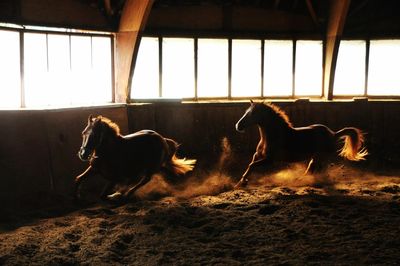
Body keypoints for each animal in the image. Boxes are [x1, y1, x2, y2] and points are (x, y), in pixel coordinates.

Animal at [234, 101, 368, 188]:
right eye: (246, 112)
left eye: (252, 113)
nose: (238, 126)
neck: (273, 136)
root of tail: (333, 134)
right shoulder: (258, 155)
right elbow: (250, 165)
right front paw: (241, 182)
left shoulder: (269, 160)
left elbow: (252, 165)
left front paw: (243, 182)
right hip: (315, 157)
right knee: (312, 168)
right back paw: (302, 179)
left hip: (321, 156)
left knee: (318, 169)